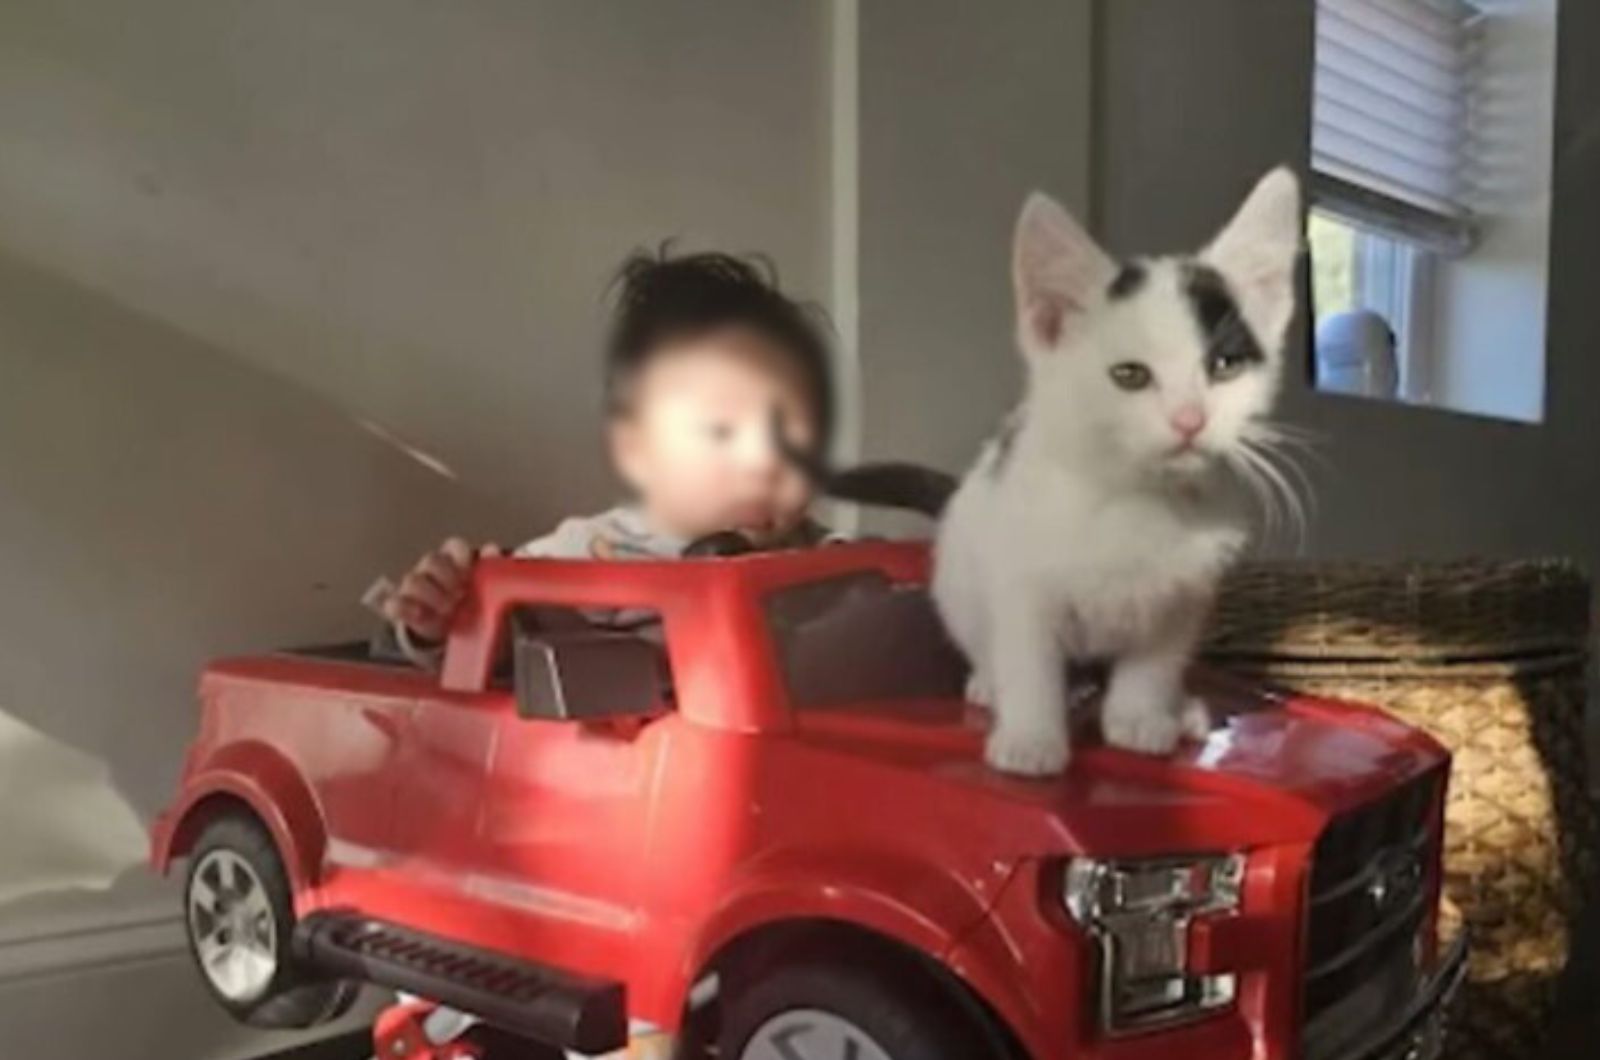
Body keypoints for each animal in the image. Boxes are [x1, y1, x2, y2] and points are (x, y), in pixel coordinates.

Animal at [934, 170, 1299, 778]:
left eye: (1224, 367)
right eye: (1130, 375)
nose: (1189, 420)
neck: (1137, 494)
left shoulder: (1186, 591)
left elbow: (1154, 660)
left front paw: (1140, 718)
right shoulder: (1020, 574)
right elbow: (1028, 655)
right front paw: (1031, 738)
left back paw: (1183, 711)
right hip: (956, 575)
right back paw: (989, 684)